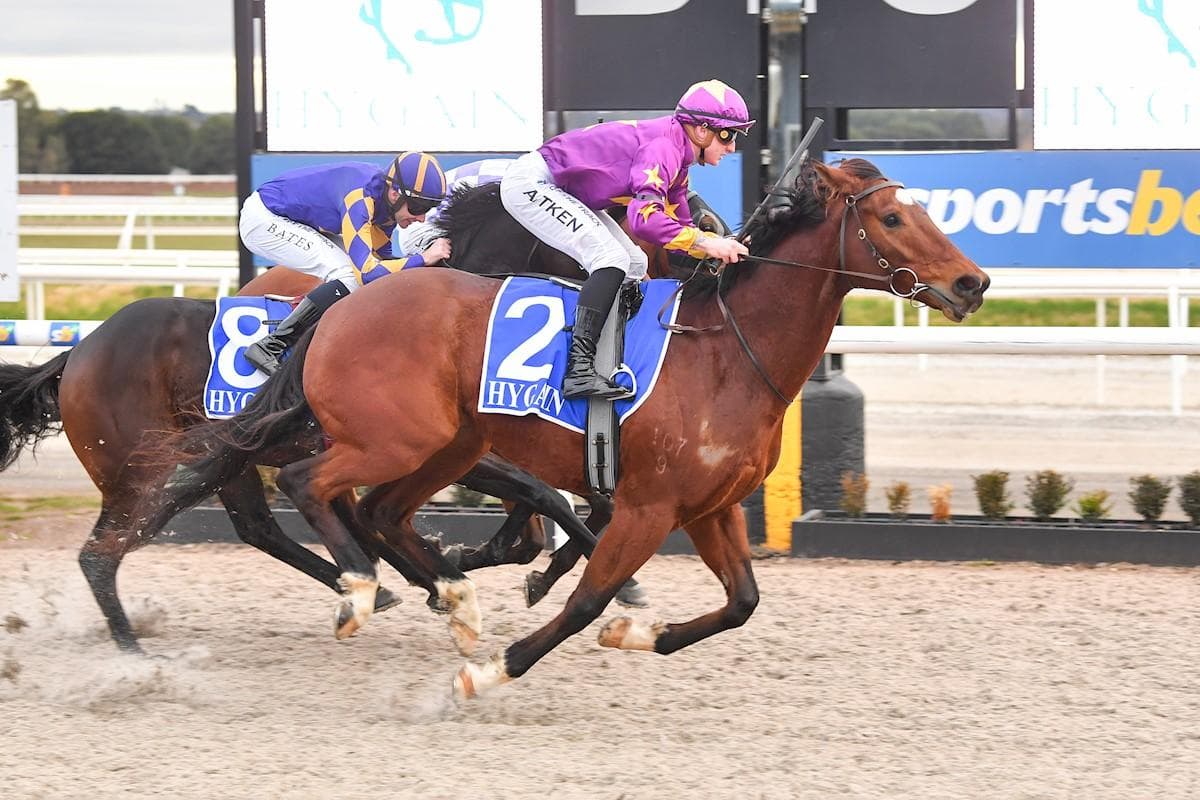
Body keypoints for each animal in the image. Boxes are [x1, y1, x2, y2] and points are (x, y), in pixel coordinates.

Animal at [143, 157, 990, 695]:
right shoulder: (648, 504)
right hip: (393, 440)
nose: (972, 282)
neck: (727, 352)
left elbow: (742, 602)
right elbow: (585, 596)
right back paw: (360, 590)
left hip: (448, 445)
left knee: (379, 510)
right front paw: (497, 667)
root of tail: (343, 303)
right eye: (891, 217)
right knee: (308, 484)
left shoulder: (710, 506)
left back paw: (447, 597)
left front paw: (636, 633)